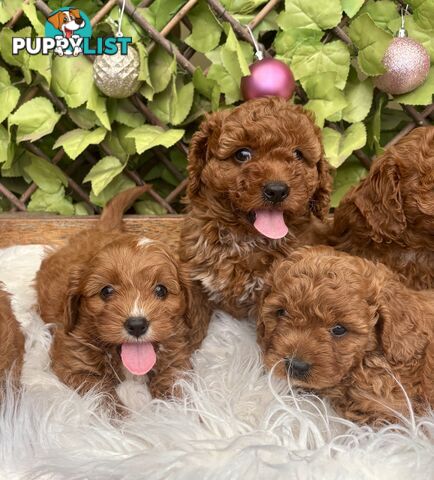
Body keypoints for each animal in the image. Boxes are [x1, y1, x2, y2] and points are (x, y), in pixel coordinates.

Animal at [35, 187, 195, 408]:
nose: (137, 325)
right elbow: (102, 396)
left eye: (161, 290)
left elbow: (175, 386)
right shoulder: (75, 363)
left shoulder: (175, 359)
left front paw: (175, 413)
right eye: (106, 291)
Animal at [180, 96, 332, 336]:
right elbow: (194, 326)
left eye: (298, 154)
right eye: (243, 154)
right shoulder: (194, 278)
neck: (247, 239)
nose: (277, 190)